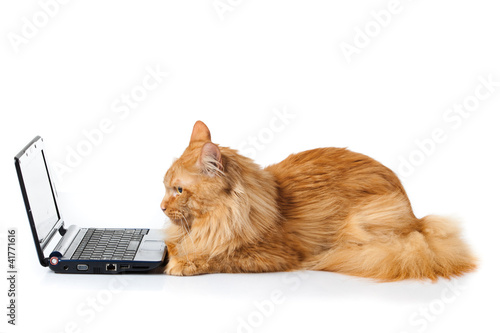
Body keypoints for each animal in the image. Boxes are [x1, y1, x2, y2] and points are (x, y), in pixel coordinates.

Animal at [160, 120, 476, 278]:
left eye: (178, 190)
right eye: (165, 188)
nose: (161, 207)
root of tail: (417, 219)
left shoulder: (271, 255)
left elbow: (221, 256)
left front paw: (182, 264)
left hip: (359, 224)